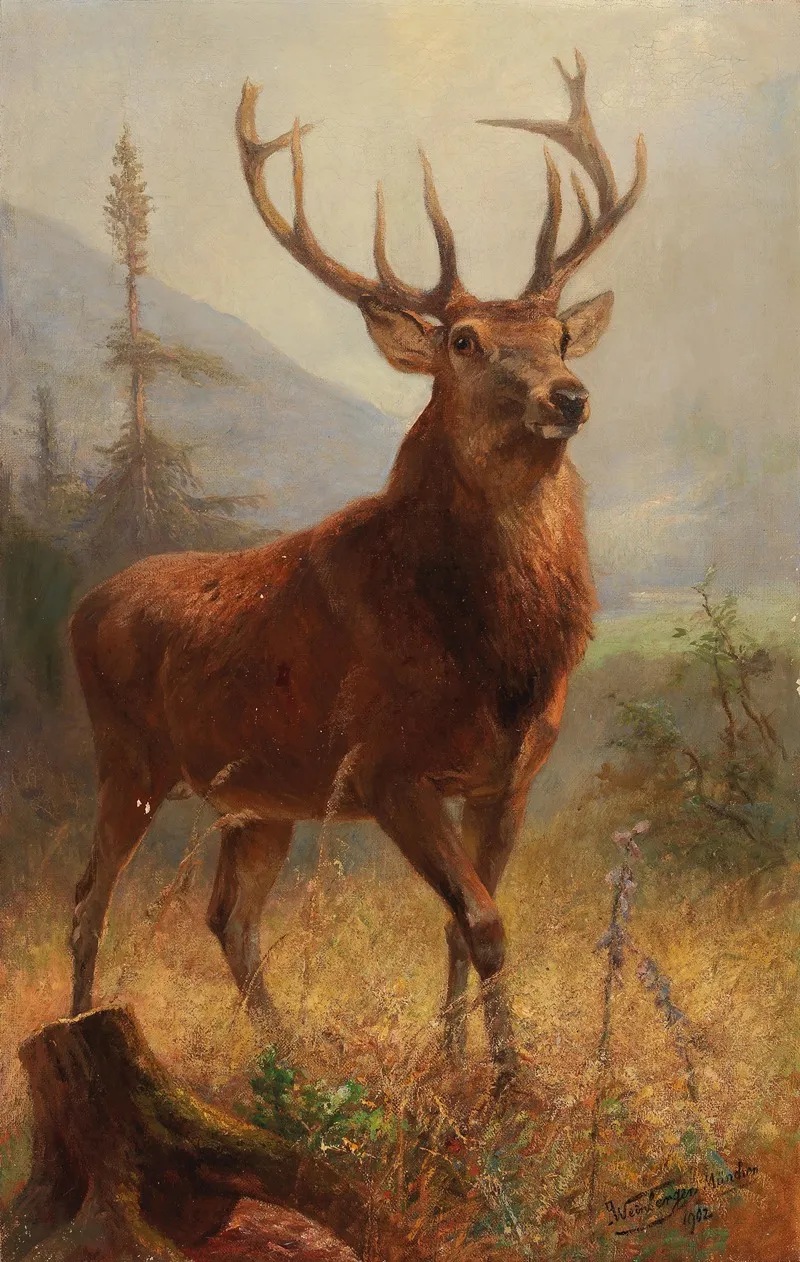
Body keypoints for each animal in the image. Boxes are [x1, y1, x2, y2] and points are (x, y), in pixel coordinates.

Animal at [69, 52, 645, 1086]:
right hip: (125, 757)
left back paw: (287, 1059)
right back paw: (80, 1032)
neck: (496, 656)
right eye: (465, 341)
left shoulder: (508, 778)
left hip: (256, 802)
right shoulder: (384, 766)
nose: (569, 396)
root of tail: (80, 608)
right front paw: (509, 1081)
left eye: (560, 338)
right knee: (87, 901)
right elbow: (486, 923)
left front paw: (456, 1063)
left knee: (226, 917)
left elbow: (463, 925)